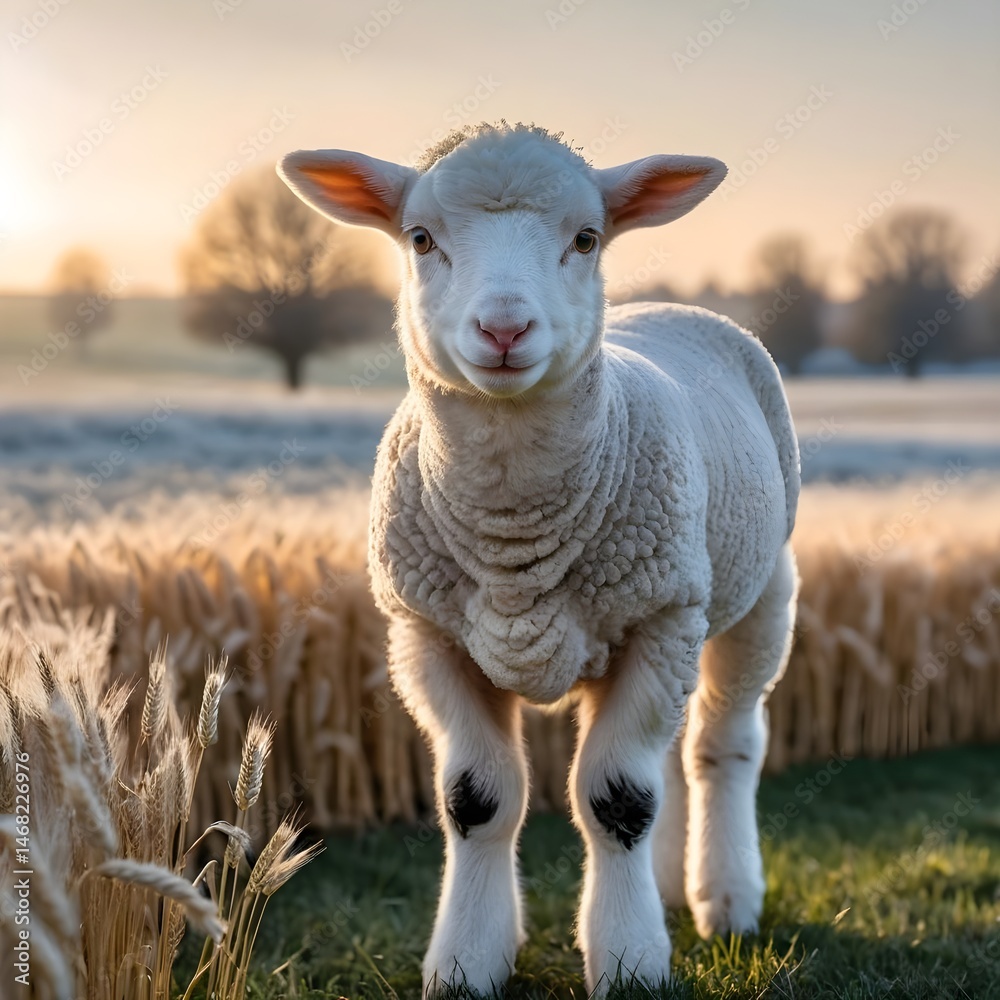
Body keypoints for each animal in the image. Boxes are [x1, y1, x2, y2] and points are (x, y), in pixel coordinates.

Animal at [279, 122, 800, 997]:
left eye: (586, 238)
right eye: (421, 239)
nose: (503, 330)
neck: (513, 530)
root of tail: (661, 307)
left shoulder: (660, 618)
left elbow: (618, 799)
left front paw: (629, 961)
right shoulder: (425, 637)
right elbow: (476, 800)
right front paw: (467, 960)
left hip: (755, 594)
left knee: (718, 746)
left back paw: (725, 898)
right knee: (672, 758)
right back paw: (670, 887)